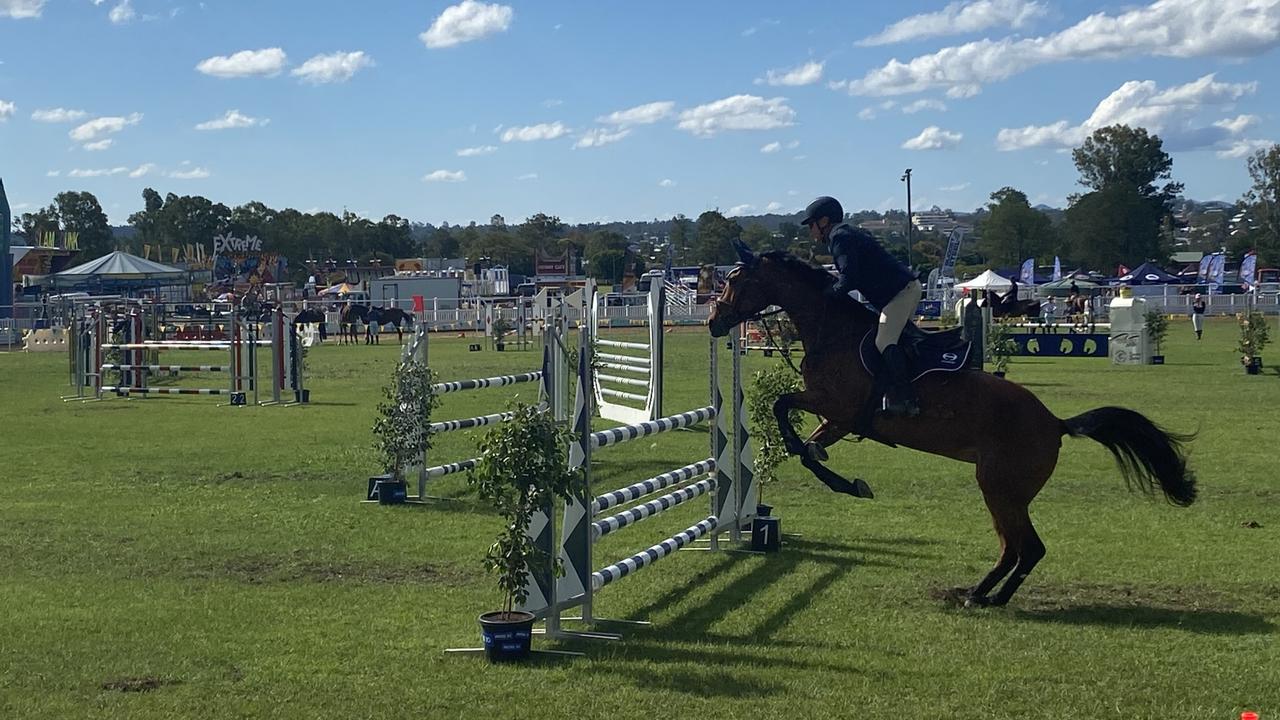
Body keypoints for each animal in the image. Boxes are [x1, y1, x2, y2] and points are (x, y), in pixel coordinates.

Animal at [711, 245, 1198, 604]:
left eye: (734, 281)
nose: (715, 322)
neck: (832, 331)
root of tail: (1054, 422)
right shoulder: (838, 418)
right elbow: (808, 449)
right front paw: (847, 482)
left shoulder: (839, 406)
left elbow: (782, 411)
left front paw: (839, 477)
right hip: (1002, 490)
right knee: (1013, 547)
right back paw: (977, 592)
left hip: (1001, 486)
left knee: (1027, 547)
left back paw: (989, 598)